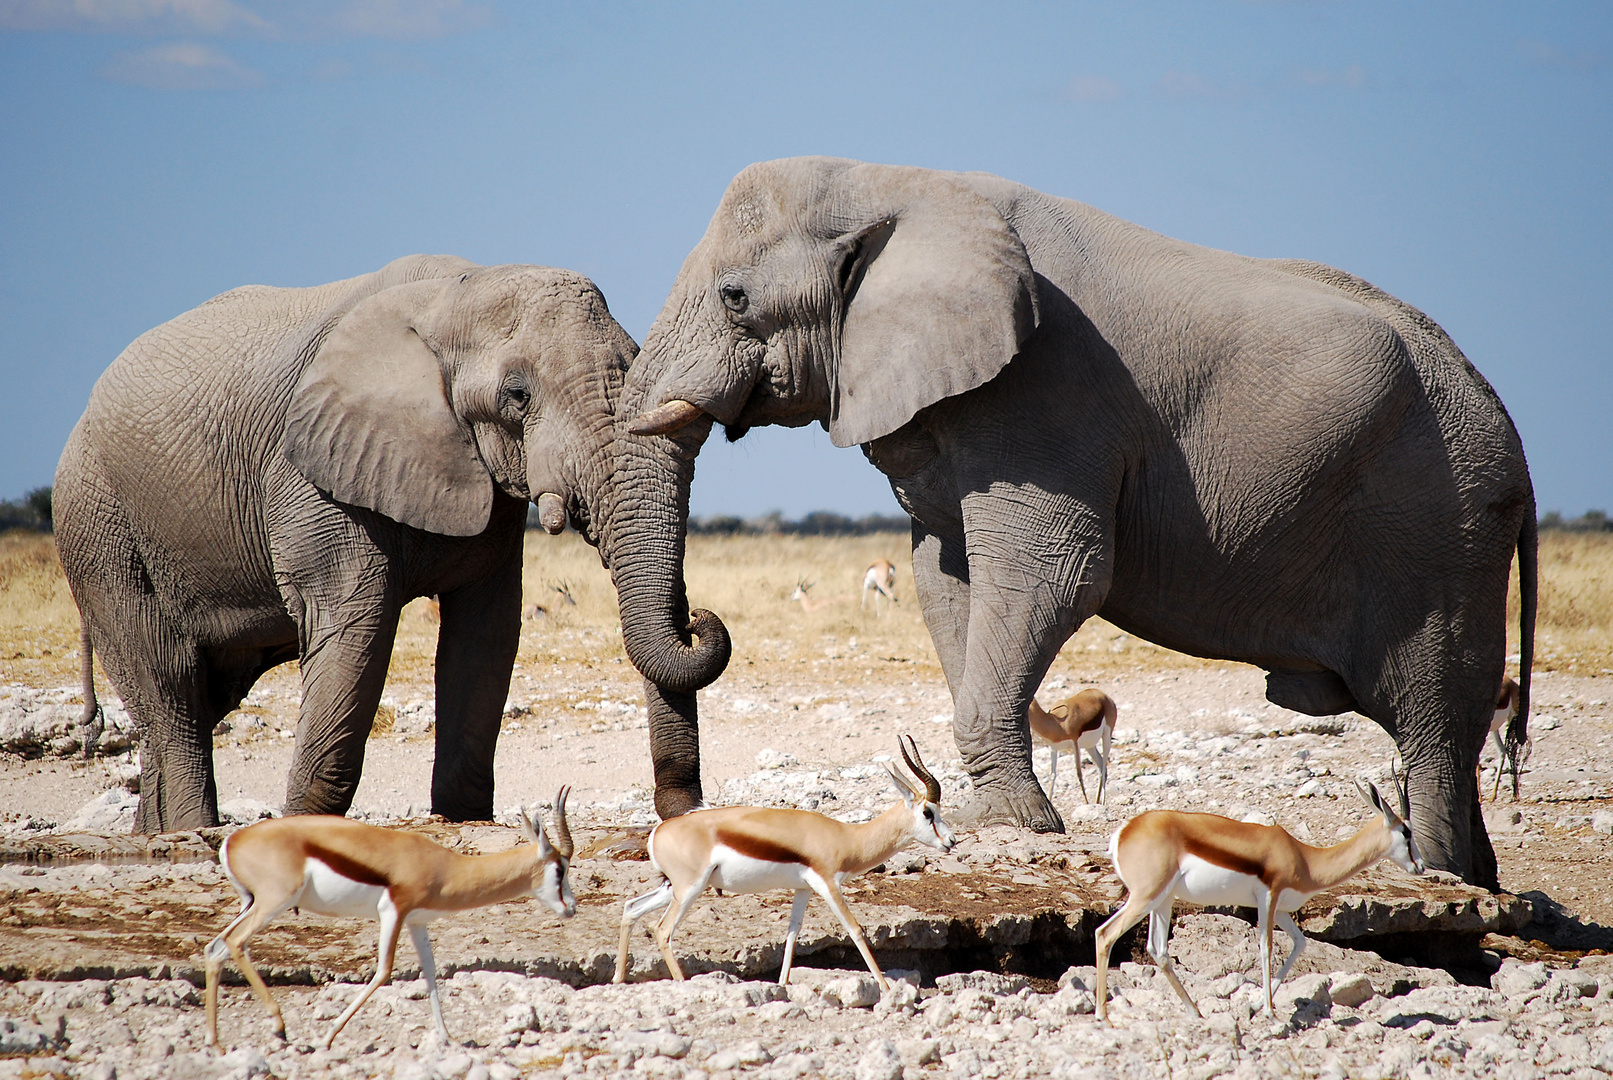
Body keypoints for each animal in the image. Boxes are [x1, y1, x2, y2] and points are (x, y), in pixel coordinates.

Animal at [53, 256, 729, 838]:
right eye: (517, 395)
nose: (697, 619)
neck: (457, 291)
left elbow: (486, 631)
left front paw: (462, 819)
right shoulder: (316, 468)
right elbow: (356, 624)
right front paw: (304, 827)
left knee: (201, 695)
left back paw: (155, 832)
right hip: (97, 524)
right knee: (170, 685)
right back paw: (191, 831)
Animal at [616, 156, 1535, 889]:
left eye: (735, 297)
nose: (701, 619)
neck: (897, 184)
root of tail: (1510, 435)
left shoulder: (1043, 396)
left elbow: (1050, 575)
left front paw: (1004, 825)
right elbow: (944, 578)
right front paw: (999, 815)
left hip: (1436, 528)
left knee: (1430, 715)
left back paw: (1442, 874)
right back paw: (1475, 878)